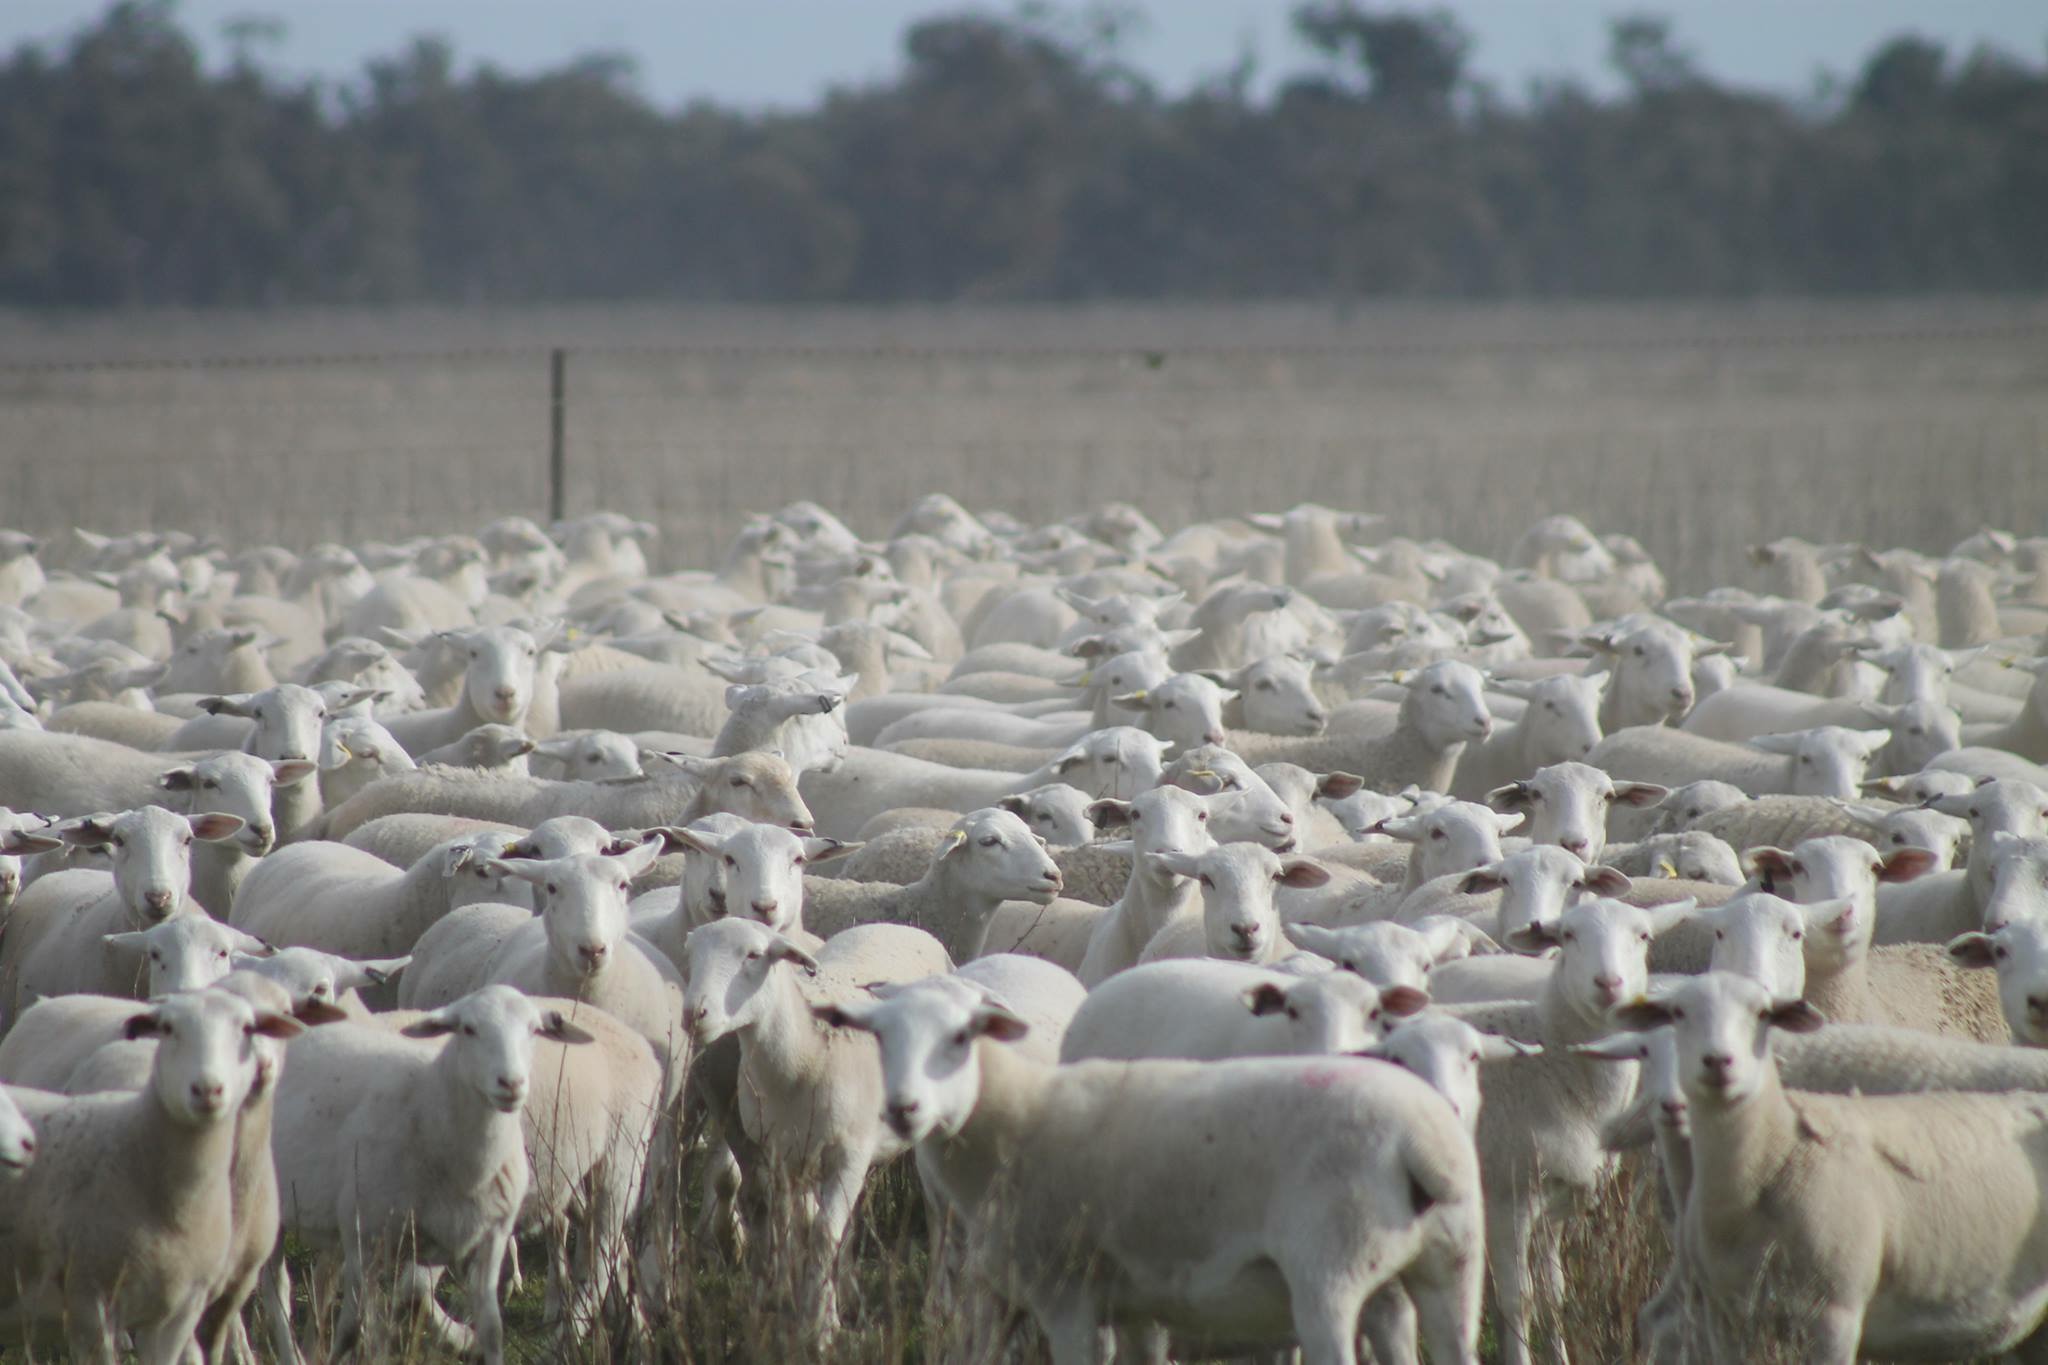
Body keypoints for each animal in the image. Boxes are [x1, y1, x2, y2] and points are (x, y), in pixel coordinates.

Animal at [260, 987, 594, 1365]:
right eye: (468, 1029)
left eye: (534, 1030)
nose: (511, 1084)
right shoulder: (367, 1238)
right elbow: (364, 1334)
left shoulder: (490, 1238)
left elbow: (492, 1329)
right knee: (276, 1292)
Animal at [679, 918, 953, 1331]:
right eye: (692, 955)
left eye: (754, 955)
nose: (694, 1014)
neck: (803, 1052)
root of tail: (905, 927)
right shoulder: (780, 1154)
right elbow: (791, 1225)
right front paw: (788, 1301)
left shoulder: (847, 1155)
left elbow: (823, 1234)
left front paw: (821, 1324)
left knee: (938, 1212)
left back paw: (935, 1306)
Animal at [815, 976, 1487, 1365]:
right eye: (878, 1036)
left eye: (960, 1037)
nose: (902, 1109)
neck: (1012, 1121)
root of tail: (1416, 1139)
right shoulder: (1128, 1300)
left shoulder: (1065, 1292)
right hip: (1448, 1265)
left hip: (1329, 1272)